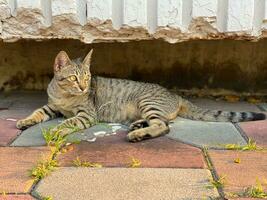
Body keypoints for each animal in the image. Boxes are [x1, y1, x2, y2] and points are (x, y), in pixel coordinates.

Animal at [16, 49, 266, 141]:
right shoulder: (52, 106)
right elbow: (37, 111)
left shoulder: (86, 115)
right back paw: (137, 126)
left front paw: (56, 129)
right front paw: (25, 121)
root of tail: (176, 96)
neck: (64, 95)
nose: (84, 88)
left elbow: (70, 121)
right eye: (74, 78)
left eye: (87, 77)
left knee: (163, 126)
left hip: (148, 102)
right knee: (164, 122)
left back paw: (138, 134)